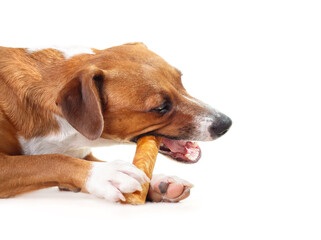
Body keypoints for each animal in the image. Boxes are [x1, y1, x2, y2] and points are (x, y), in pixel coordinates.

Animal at [0, 42, 230, 202]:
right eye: (160, 107)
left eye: (181, 81)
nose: (226, 124)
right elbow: (49, 160)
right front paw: (107, 174)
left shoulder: (80, 152)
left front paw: (157, 181)